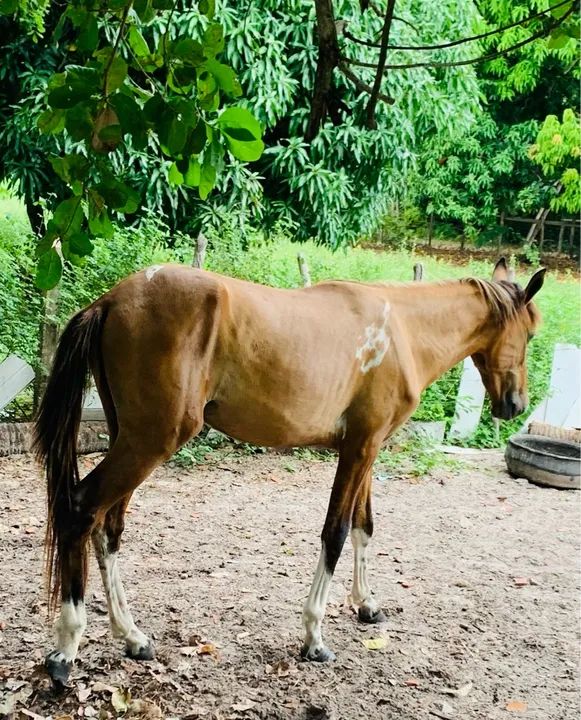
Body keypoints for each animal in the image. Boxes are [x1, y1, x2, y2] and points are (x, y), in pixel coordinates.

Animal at [34, 257, 545, 687]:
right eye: (530, 334)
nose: (515, 405)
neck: (401, 330)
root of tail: (112, 299)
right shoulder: (358, 451)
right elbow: (335, 533)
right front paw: (314, 638)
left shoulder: (367, 450)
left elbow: (364, 527)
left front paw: (367, 606)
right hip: (150, 441)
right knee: (81, 509)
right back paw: (65, 651)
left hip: (132, 439)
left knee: (107, 528)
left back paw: (132, 637)